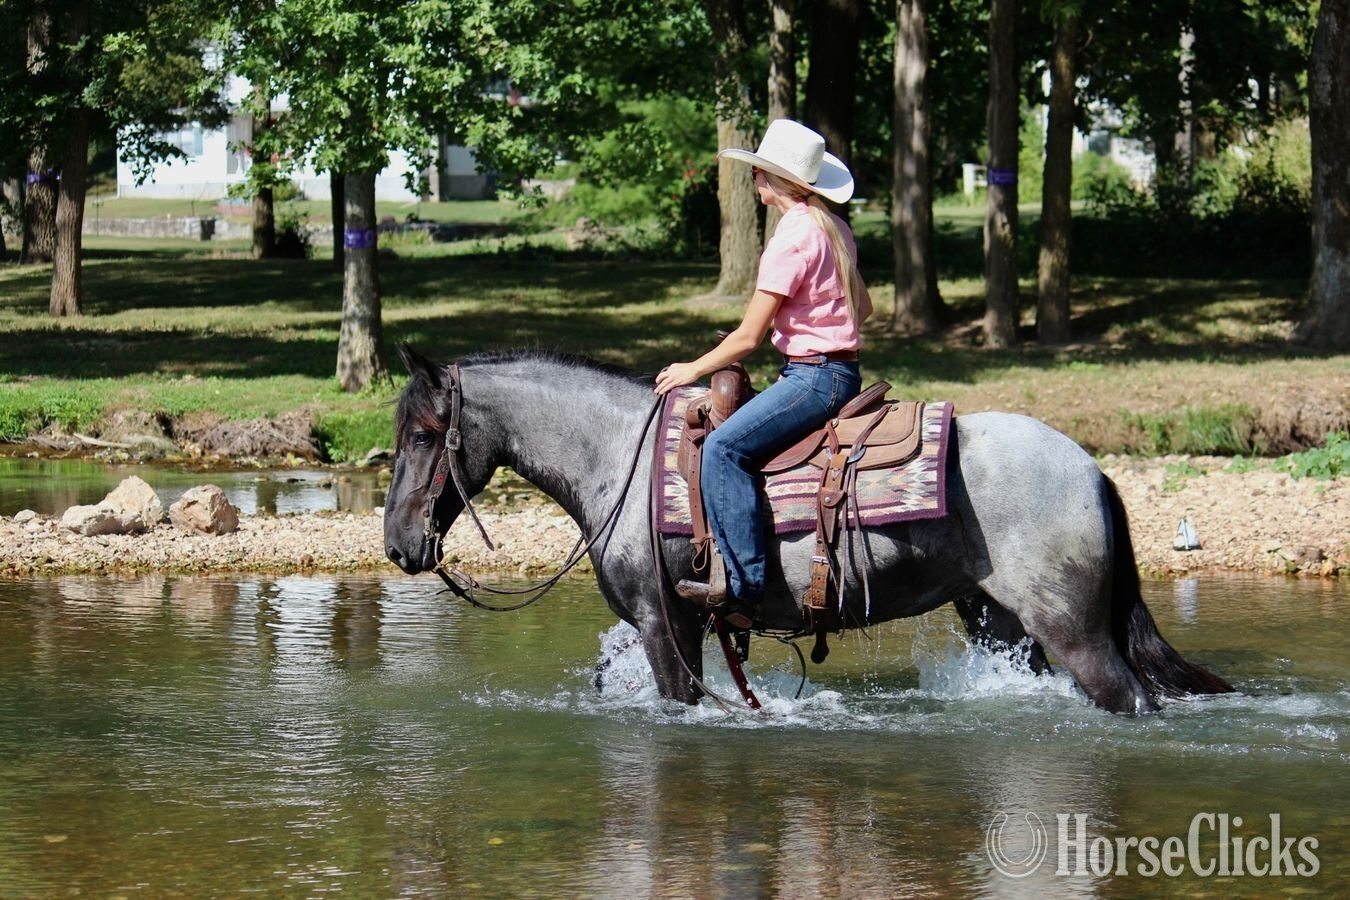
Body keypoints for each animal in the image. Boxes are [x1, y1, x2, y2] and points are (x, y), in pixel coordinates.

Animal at [382, 346, 1234, 715]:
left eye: (424, 436)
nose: (396, 544)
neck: (617, 457)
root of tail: (1090, 468)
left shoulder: (663, 622)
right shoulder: (676, 623)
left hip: (1073, 627)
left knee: (1129, 697)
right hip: (1001, 621)